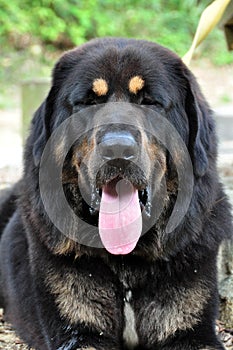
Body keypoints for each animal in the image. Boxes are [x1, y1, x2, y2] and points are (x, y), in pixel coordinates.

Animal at [0, 37, 232, 348]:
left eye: (150, 102)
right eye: (88, 102)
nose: (117, 149)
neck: (126, 265)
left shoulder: (189, 331)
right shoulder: (80, 331)